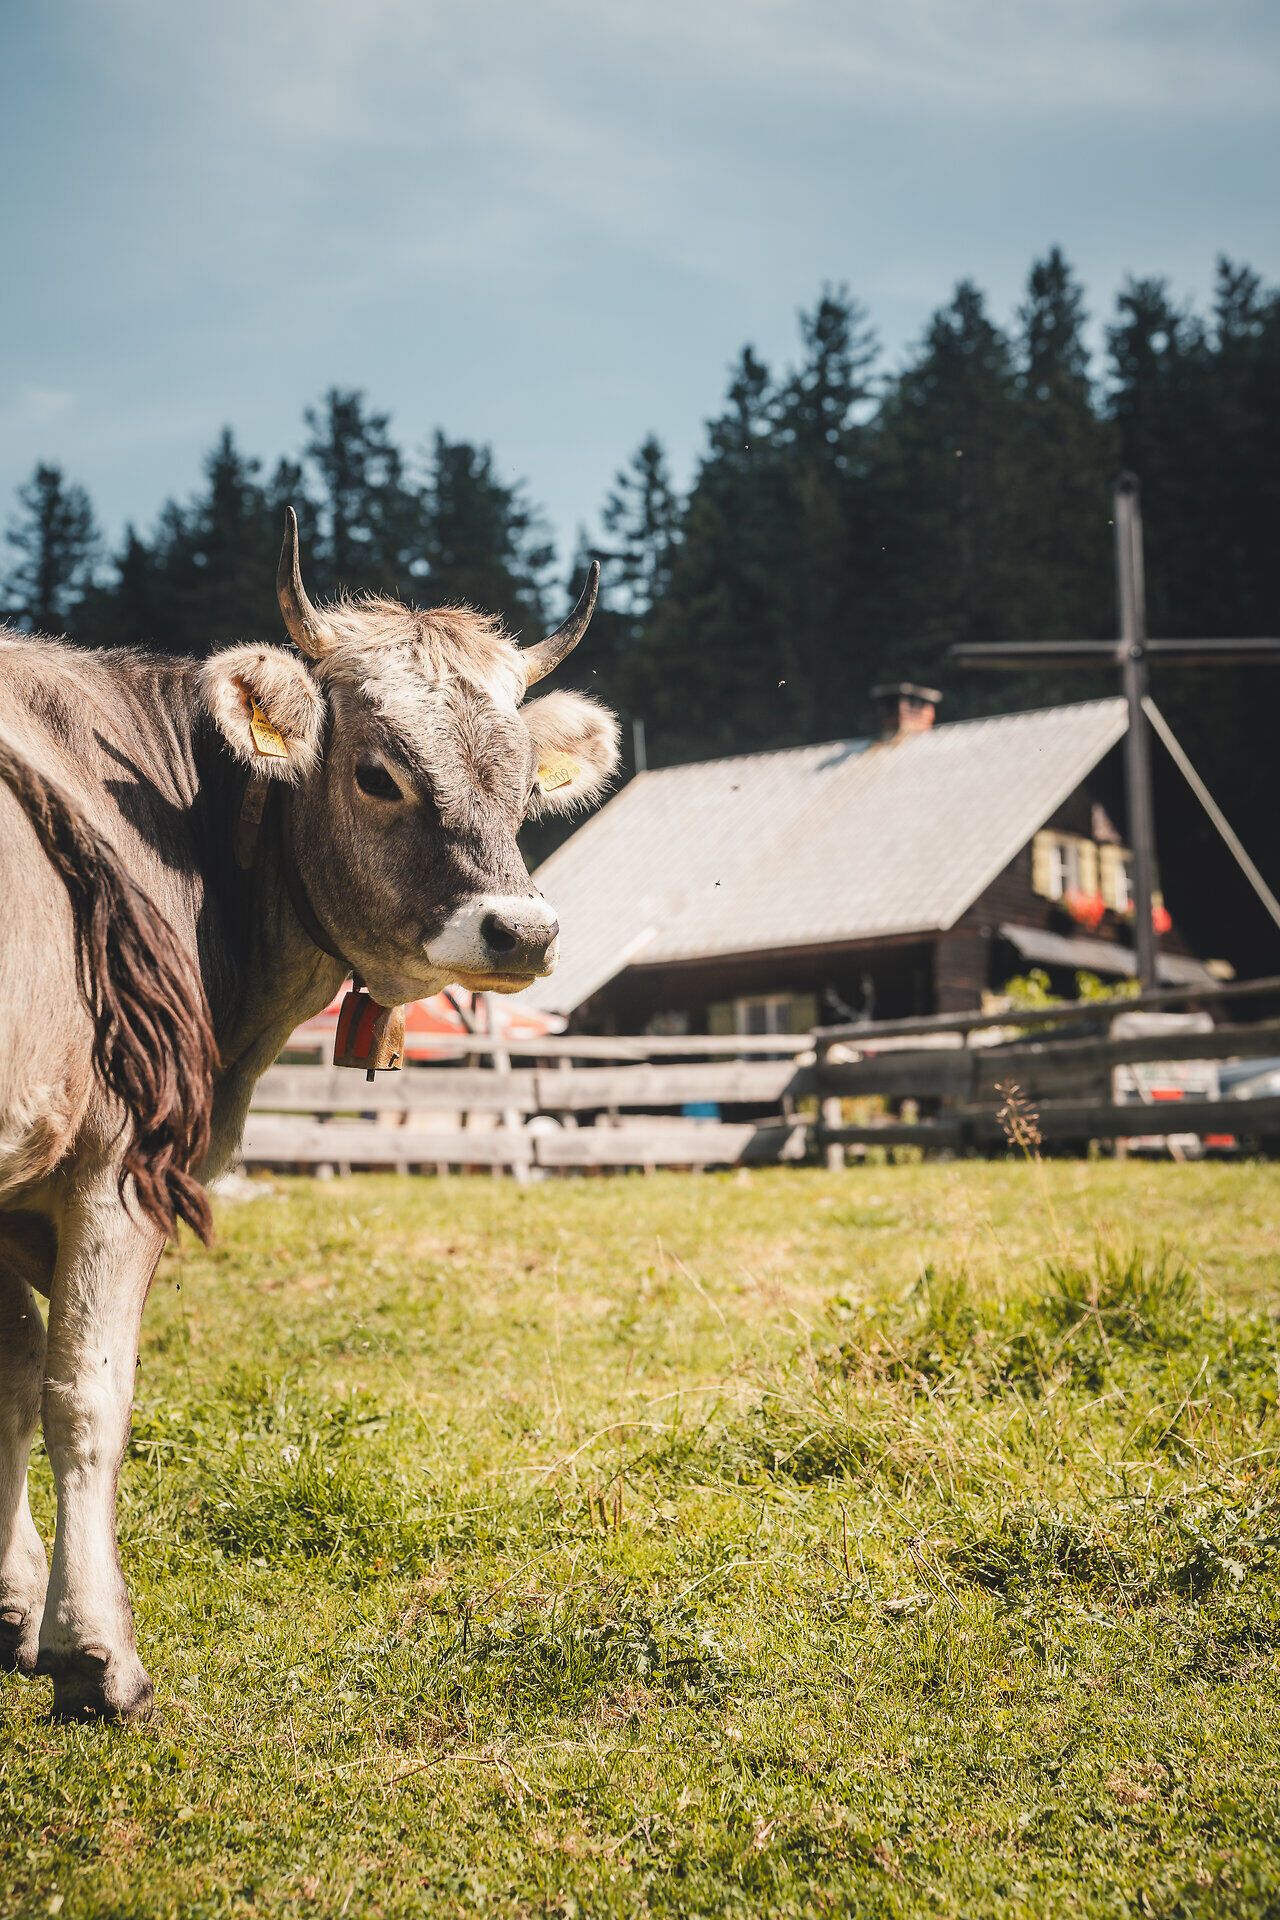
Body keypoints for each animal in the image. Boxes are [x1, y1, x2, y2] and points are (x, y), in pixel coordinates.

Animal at [0, 512, 619, 1719]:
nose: (520, 931)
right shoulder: (114, 1164)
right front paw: (92, 1652)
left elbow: (7, 1376)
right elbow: (80, 1393)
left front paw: (12, 1605)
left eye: (525, 782)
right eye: (378, 775)